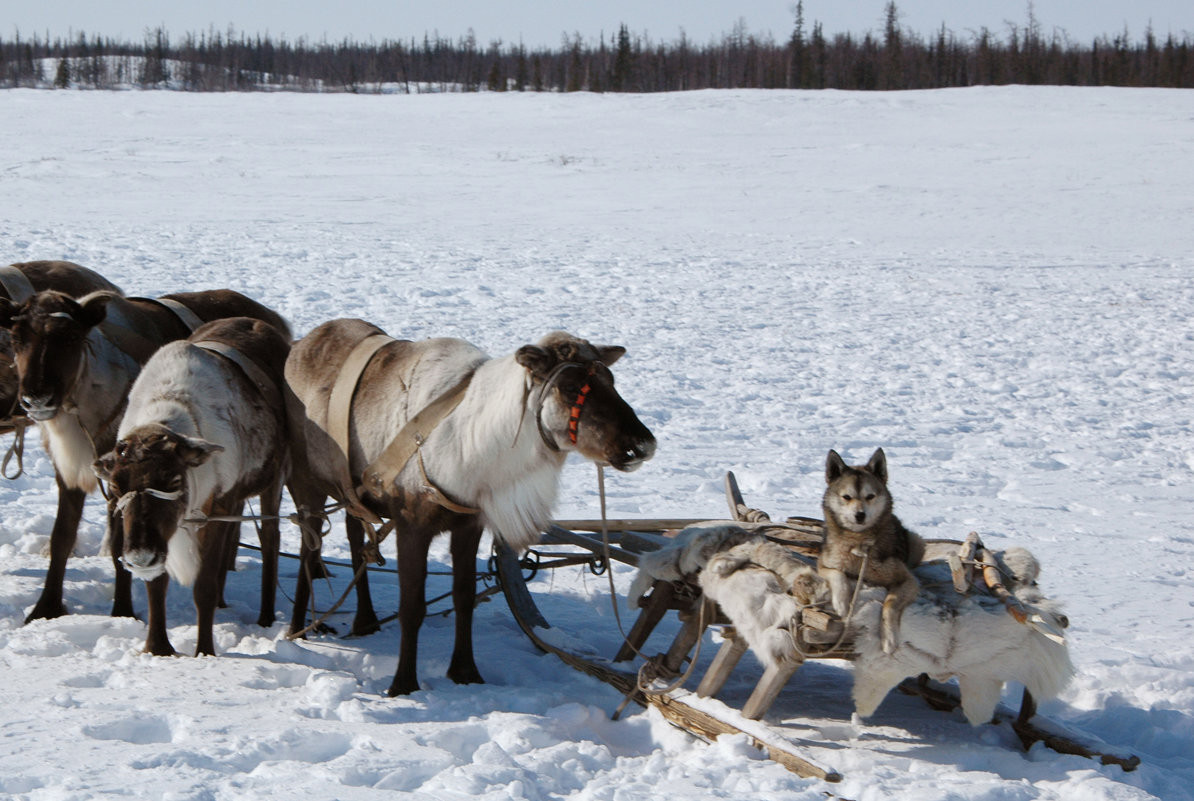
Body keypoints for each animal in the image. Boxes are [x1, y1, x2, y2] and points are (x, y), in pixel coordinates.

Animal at [816, 448, 926, 654]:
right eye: (847, 497)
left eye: (870, 496)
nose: (860, 515)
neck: (858, 542)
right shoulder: (823, 563)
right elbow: (837, 574)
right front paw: (842, 603)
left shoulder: (907, 580)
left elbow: (890, 604)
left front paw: (889, 638)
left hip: (917, 542)